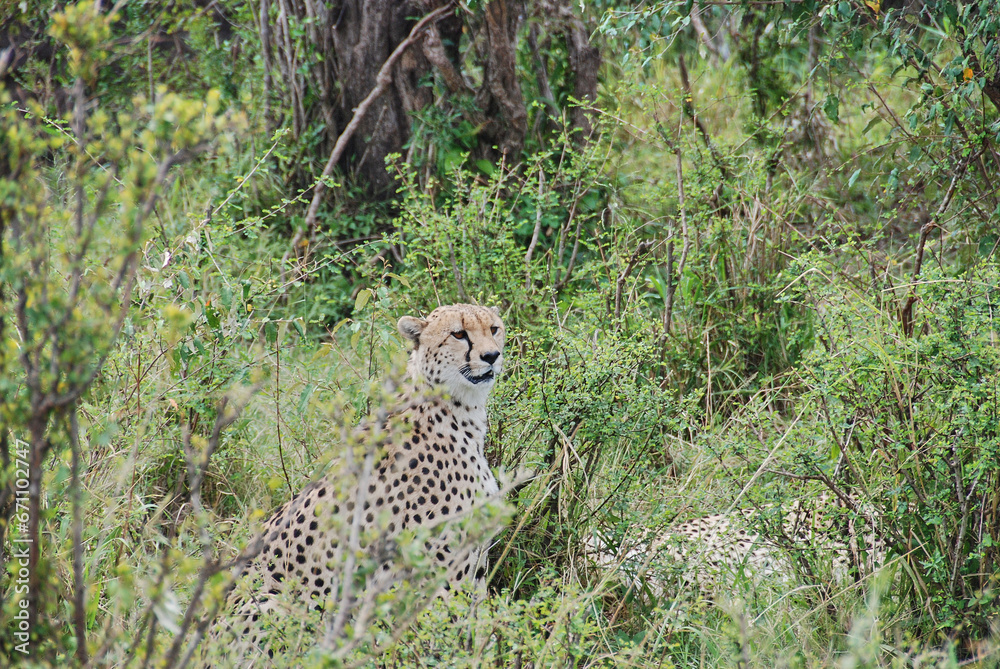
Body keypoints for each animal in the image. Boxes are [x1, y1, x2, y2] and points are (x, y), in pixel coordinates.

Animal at [201, 303, 506, 665]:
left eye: (494, 328)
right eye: (458, 333)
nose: (491, 355)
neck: (457, 410)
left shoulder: (472, 560)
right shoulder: (439, 564)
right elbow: (450, 634)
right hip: (275, 604)